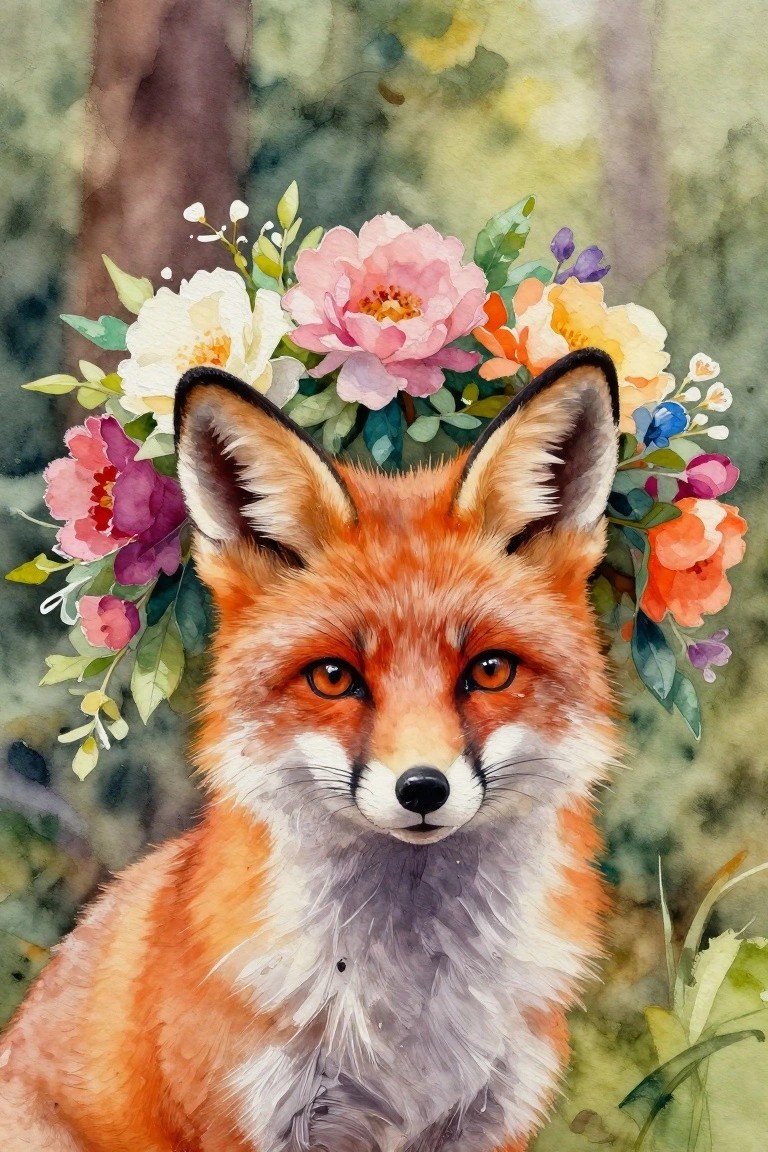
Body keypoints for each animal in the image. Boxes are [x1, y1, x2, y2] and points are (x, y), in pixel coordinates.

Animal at [0, 347, 621, 1152]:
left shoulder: (490, 1120)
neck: (410, 1015)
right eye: (333, 677)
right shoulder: (248, 1122)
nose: (422, 789)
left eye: (490, 671)